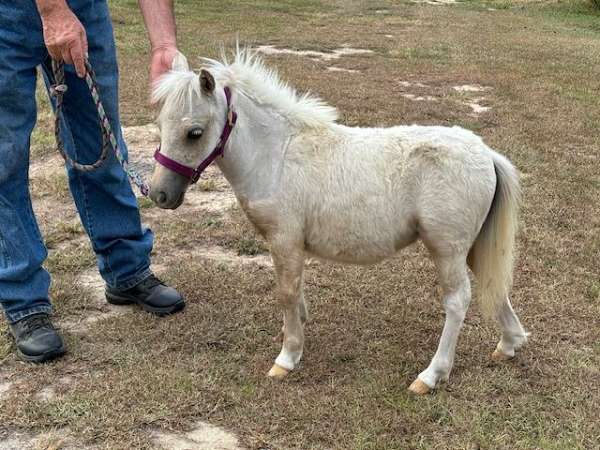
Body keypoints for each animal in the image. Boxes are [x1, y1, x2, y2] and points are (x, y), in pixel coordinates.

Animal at [150, 50, 528, 394]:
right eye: (160, 125)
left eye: (194, 132)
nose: (159, 194)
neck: (277, 155)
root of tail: (486, 153)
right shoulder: (288, 245)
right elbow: (295, 292)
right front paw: (296, 331)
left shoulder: (284, 239)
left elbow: (286, 292)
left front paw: (287, 357)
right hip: (473, 247)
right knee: (494, 286)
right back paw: (509, 344)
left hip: (447, 250)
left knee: (457, 301)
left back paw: (432, 375)